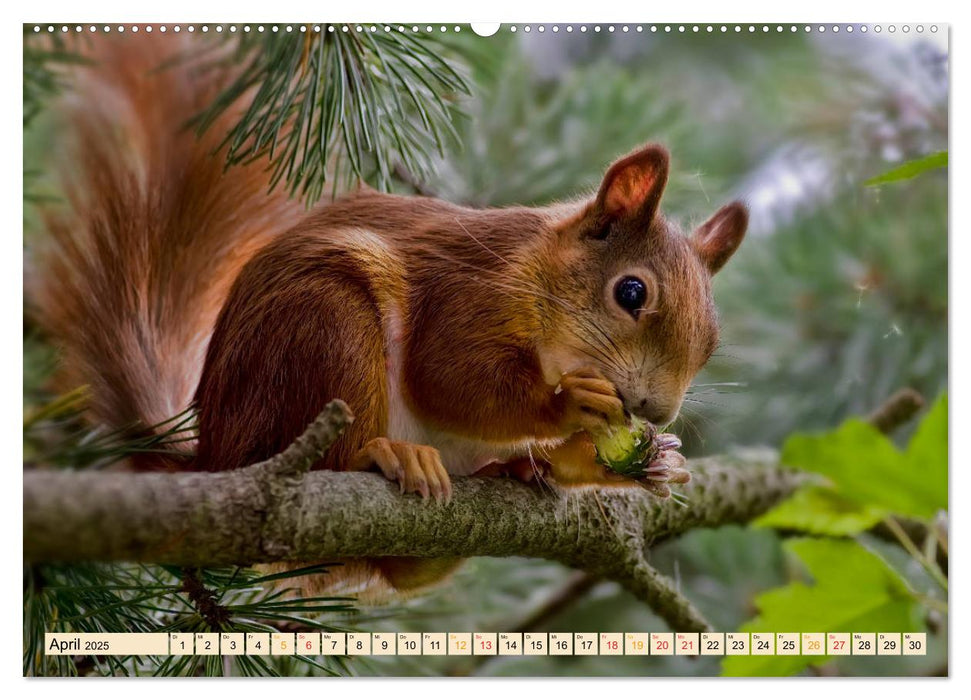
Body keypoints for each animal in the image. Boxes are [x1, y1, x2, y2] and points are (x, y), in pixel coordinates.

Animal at [28, 35, 744, 596]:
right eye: (631, 293)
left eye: (713, 341)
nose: (656, 412)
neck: (539, 282)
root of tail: (216, 457)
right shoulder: (466, 295)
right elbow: (449, 378)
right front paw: (571, 404)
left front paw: (627, 462)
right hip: (325, 326)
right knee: (335, 454)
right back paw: (387, 455)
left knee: (405, 570)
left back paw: (508, 472)